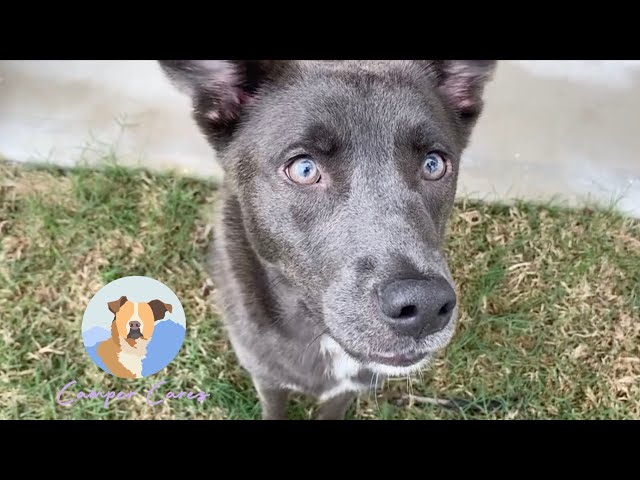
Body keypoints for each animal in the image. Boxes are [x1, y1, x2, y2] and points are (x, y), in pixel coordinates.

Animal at [159, 61, 496, 420]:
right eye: (304, 169)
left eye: (433, 164)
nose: (426, 306)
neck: (321, 336)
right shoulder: (266, 377)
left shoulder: (351, 386)